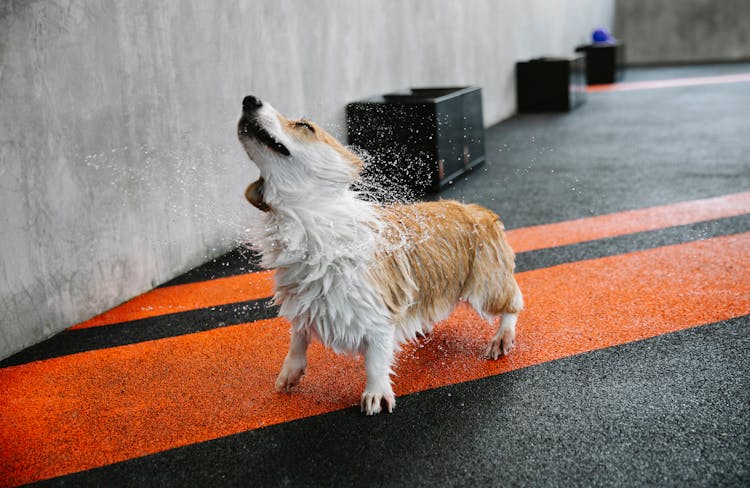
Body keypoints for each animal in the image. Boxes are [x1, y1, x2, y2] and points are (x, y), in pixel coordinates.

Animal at [238, 95, 524, 416]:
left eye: (304, 126)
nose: (248, 100)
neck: (308, 221)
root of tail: (477, 209)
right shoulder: (303, 300)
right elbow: (298, 336)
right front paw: (290, 372)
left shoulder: (380, 310)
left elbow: (376, 356)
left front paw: (376, 393)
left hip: (486, 288)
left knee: (514, 302)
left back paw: (502, 338)